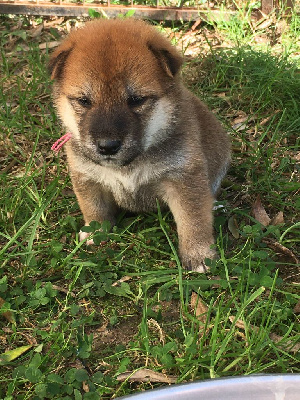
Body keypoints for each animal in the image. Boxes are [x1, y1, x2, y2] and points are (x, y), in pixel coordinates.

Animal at [49, 17, 230, 270]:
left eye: (136, 100)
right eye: (84, 101)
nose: (107, 146)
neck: (129, 165)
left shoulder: (184, 178)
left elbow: (194, 220)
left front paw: (199, 255)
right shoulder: (87, 178)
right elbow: (94, 210)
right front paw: (95, 234)